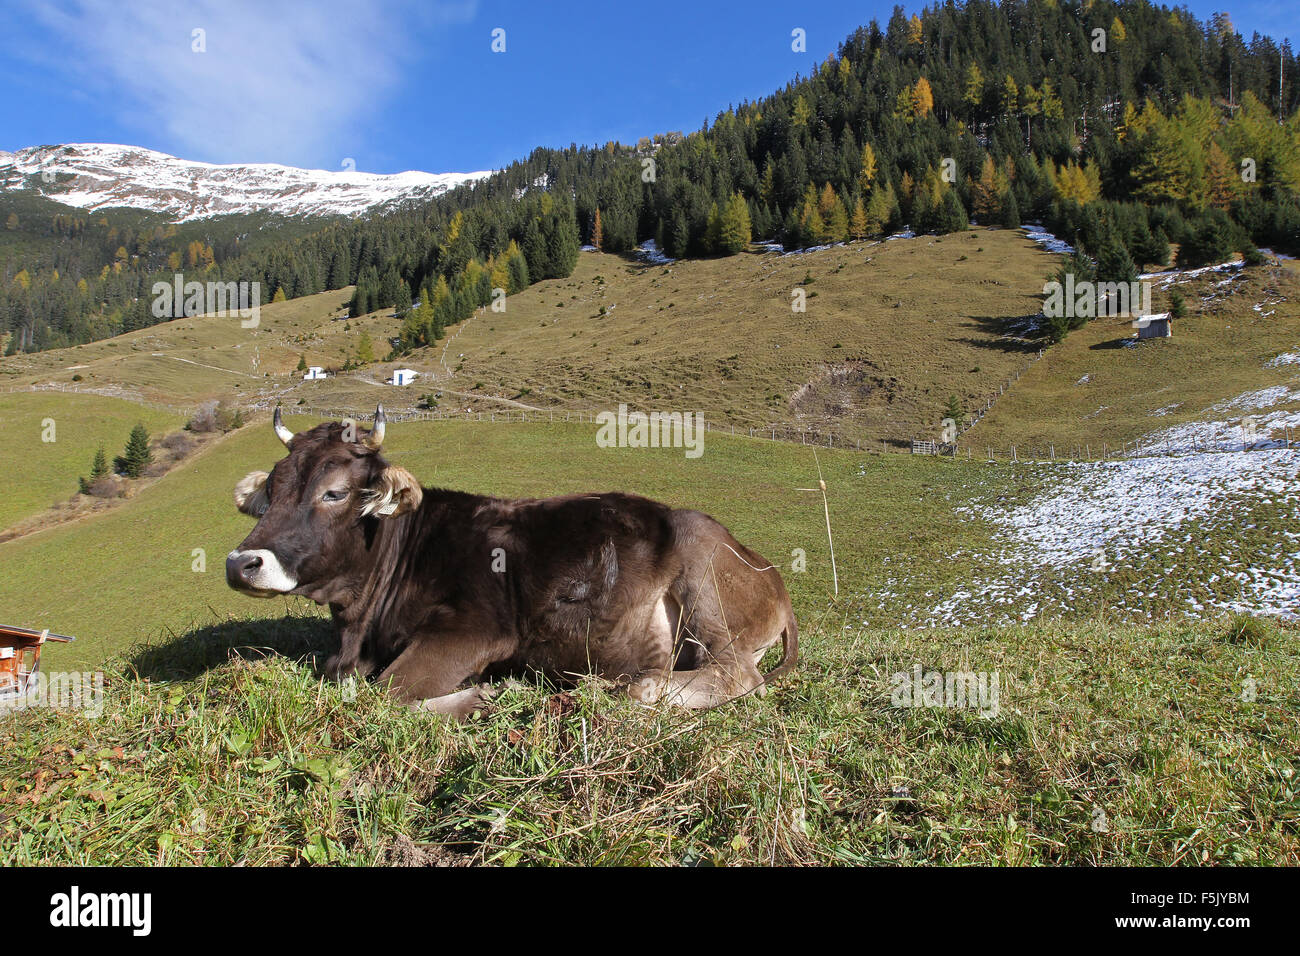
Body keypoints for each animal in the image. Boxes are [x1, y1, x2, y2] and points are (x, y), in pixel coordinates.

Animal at [226, 406, 798, 718]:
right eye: (272, 490)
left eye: (335, 492)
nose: (242, 562)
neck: (360, 624)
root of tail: (769, 571)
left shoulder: (476, 630)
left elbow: (386, 692)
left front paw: (480, 697)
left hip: (705, 578)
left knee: (736, 674)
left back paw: (638, 686)